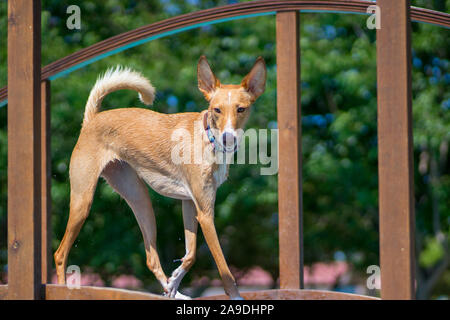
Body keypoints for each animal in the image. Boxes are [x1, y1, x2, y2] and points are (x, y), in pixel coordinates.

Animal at [55, 56, 268, 298]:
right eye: (217, 110)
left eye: (241, 109)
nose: (228, 138)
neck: (207, 139)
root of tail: (92, 119)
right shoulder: (205, 213)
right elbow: (223, 266)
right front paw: (235, 296)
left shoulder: (191, 205)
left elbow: (190, 254)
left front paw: (174, 282)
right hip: (82, 201)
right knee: (60, 254)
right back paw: (60, 288)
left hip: (140, 200)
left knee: (151, 259)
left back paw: (171, 291)